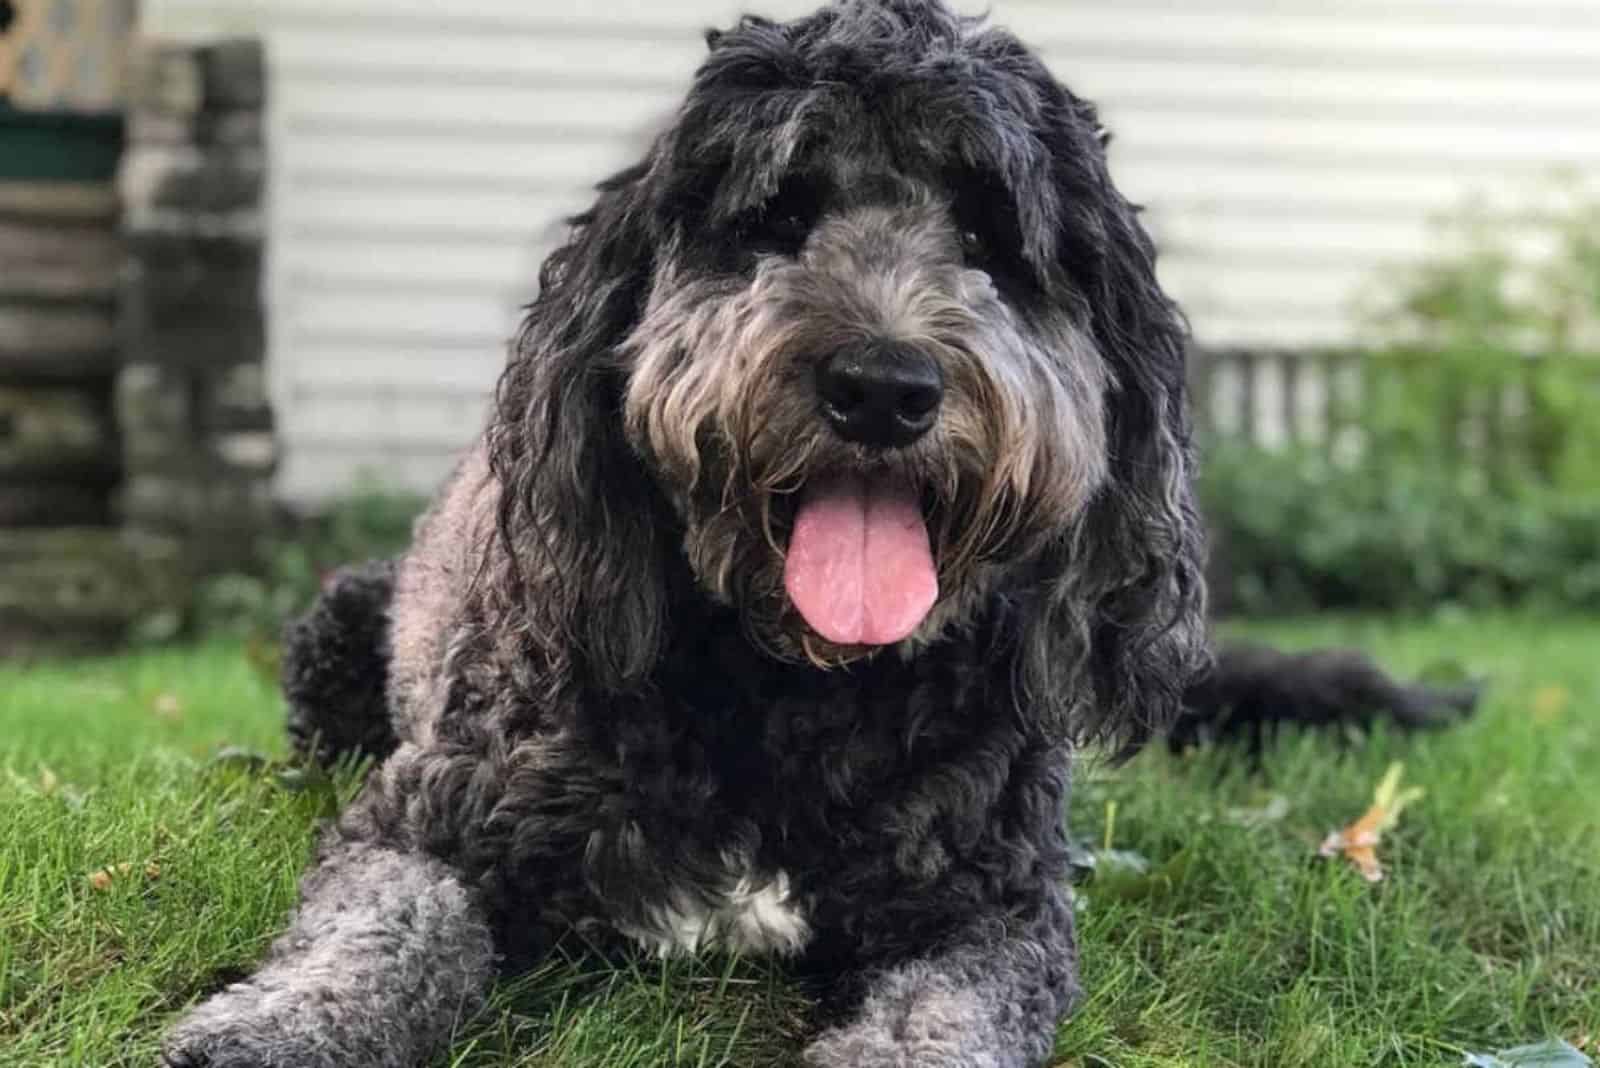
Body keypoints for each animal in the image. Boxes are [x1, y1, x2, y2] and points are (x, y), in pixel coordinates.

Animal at [162, 4, 1472, 1061]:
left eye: (989, 240)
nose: (881, 387)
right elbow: (382, 932)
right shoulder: (430, 823)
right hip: (339, 624)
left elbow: (933, 1025)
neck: (799, 686)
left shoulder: (988, 914)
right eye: (775, 215)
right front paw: (275, 1026)